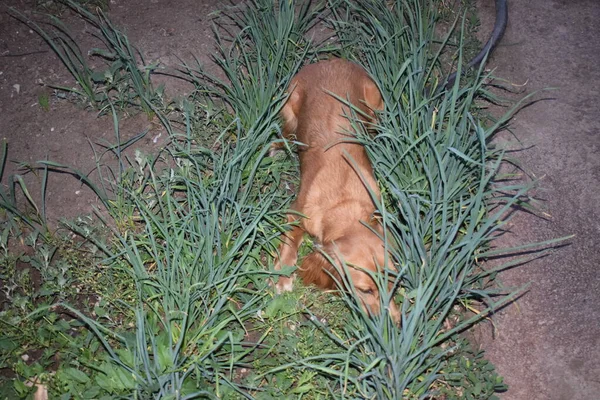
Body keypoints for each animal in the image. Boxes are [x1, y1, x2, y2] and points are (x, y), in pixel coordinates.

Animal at [274, 57, 400, 324]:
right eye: (366, 290)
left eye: (392, 283)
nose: (394, 325)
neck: (344, 203)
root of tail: (331, 60)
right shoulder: (296, 211)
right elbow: (290, 243)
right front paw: (283, 276)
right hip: (289, 104)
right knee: (288, 133)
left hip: (376, 105)